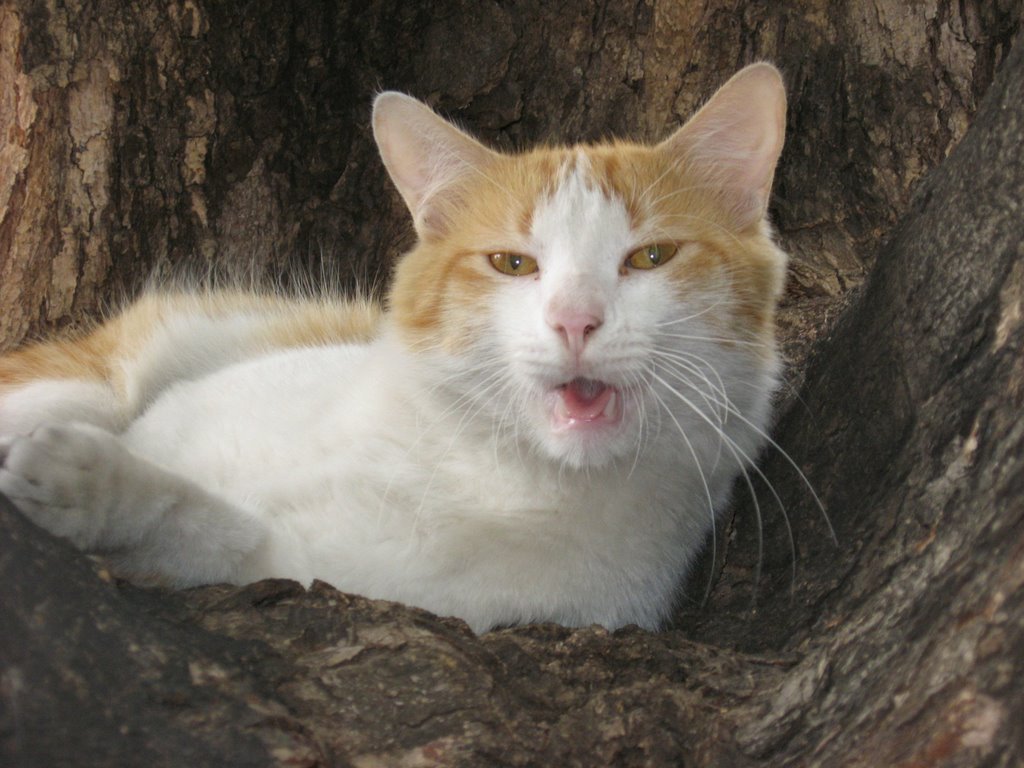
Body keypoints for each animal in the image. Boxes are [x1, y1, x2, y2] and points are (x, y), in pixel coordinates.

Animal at [0, 64, 790, 630]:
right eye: (512, 263)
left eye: (652, 256)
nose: (575, 320)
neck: (473, 473)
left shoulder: (307, 574)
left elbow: (211, 529)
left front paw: (87, 483)